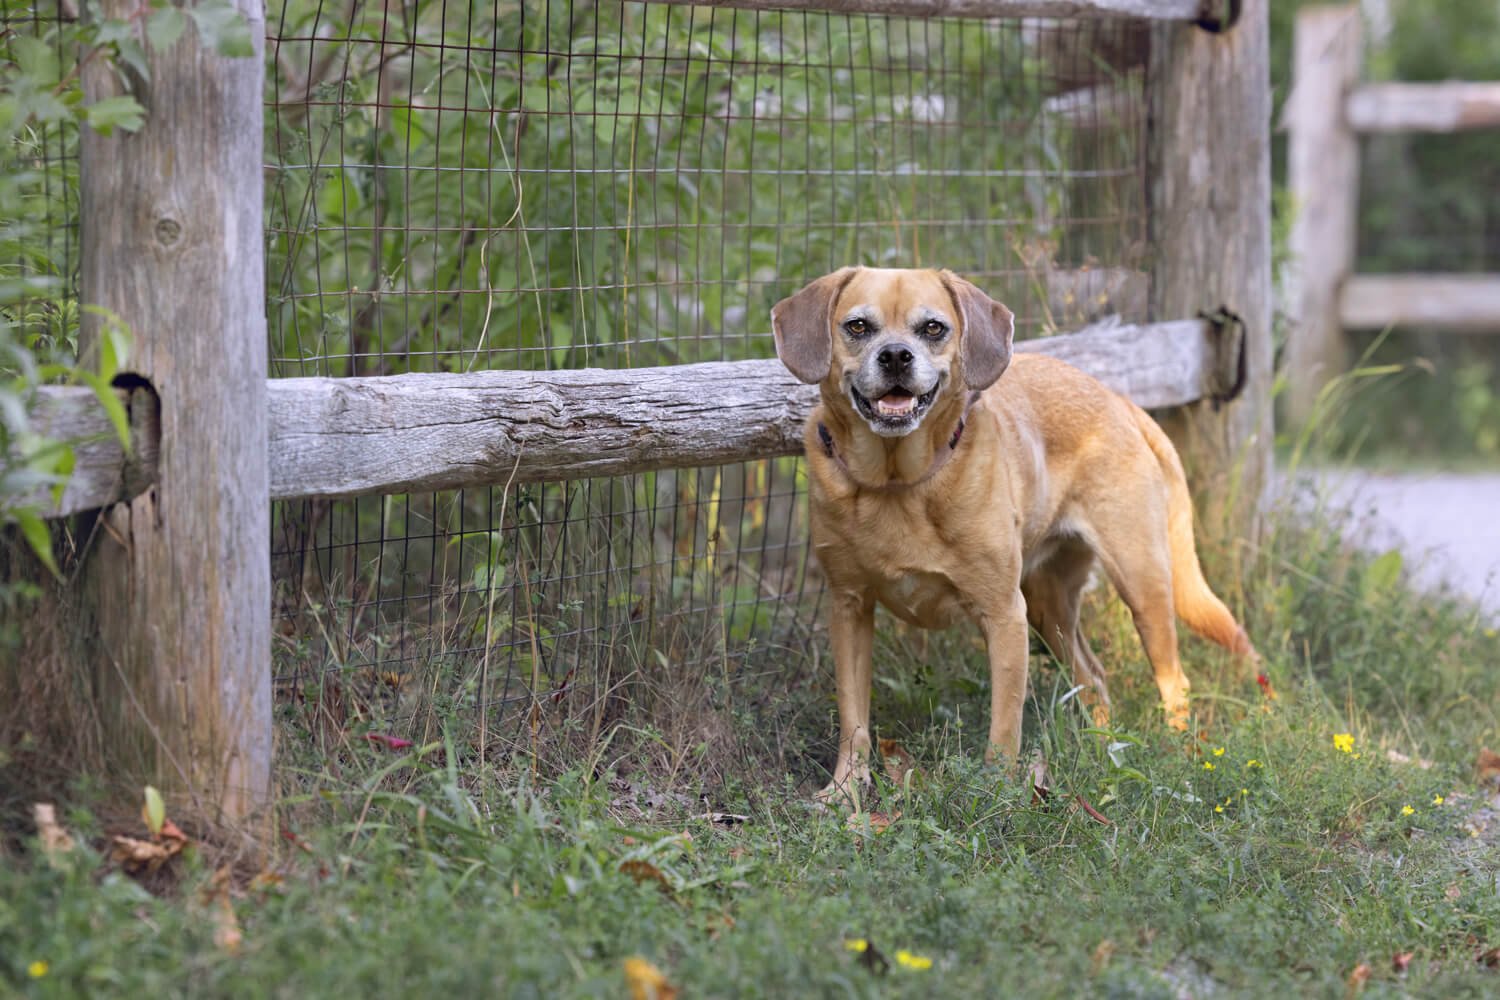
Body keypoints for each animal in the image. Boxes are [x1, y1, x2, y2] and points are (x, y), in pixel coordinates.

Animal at [774, 268, 1254, 803]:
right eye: (857, 326)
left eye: (933, 328)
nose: (896, 355)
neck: (896, 482)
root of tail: (1120, 400)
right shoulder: (849, 609)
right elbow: (853, 717)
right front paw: (844, 791)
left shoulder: (1003, 615)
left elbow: (1004, 727)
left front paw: (998, 795)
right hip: (1049, 607)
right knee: (1095, 678)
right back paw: (1100, 744)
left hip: (1142, 587)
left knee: (1174, 681)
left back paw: (1177, 751)